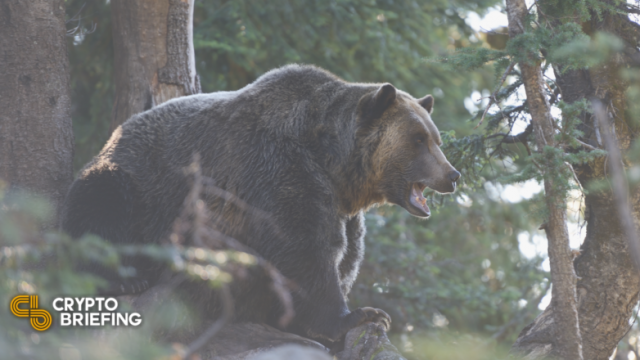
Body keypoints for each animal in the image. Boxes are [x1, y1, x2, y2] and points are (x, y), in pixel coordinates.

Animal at [61, 64, 460, 344]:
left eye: (436, 139)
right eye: (418, 139)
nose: (453, 174)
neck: (335, 165)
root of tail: (116, 133)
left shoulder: (342, 208)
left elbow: (346, 255)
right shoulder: (279, 171)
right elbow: (305, 251)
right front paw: (362, 314)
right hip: (138, 185)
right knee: (101, 210)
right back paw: (123, 280)